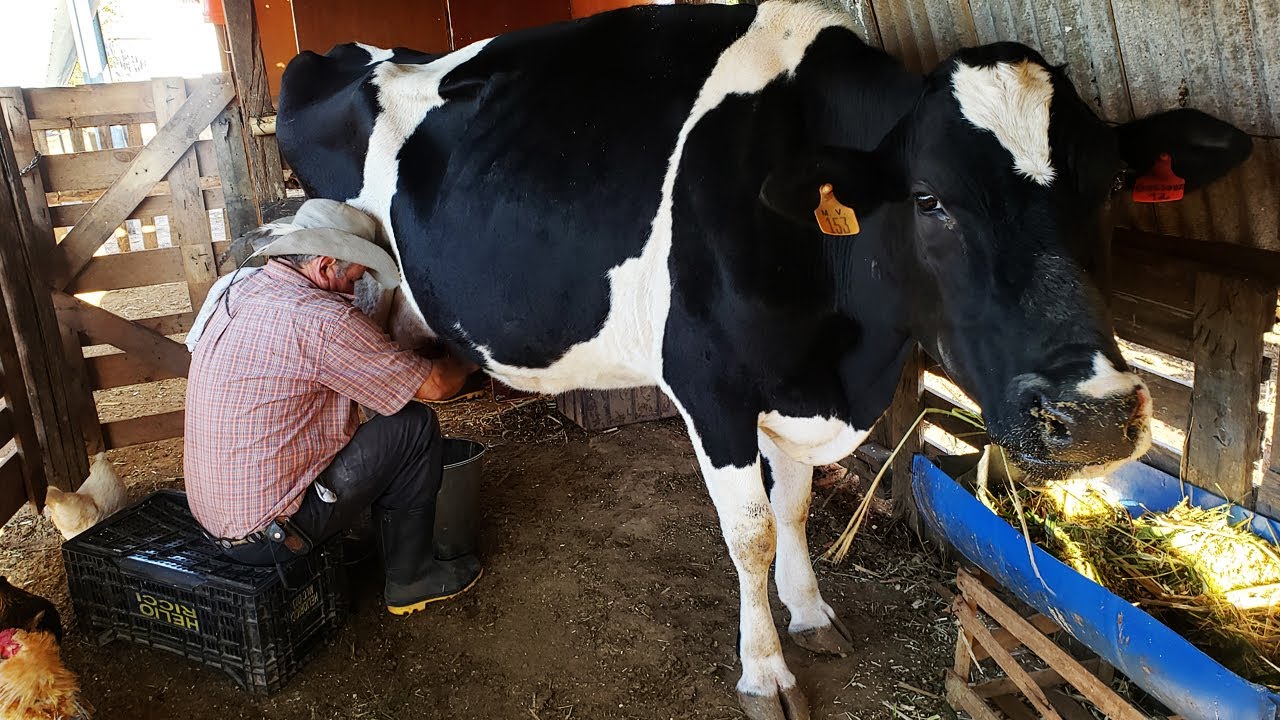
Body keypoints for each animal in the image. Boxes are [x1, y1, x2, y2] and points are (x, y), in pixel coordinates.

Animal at [276, 3, 1251, 718]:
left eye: (1113, 185)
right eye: (929, 199)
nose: (1096, 415)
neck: (845, 354)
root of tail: (355, 52)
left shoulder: (796, 385)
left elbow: (795, 509)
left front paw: (811, 612)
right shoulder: (712, 388)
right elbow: (746, 533)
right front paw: (766, 672)